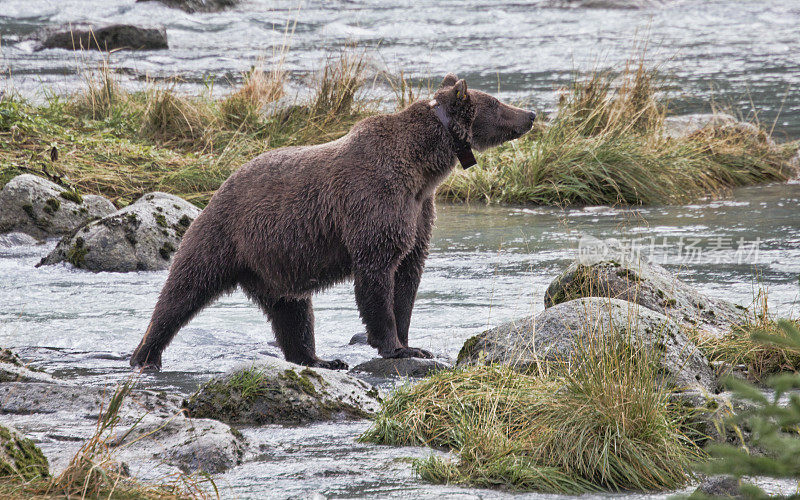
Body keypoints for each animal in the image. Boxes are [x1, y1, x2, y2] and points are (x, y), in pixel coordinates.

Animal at [131, 75, 536, 372]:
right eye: (497, 103)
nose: (530, 113)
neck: (423, 169)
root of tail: (218, 188)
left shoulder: (419, 212)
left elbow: (408, 277)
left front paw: (412, 343)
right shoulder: (375, 203)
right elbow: (377, 275)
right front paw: (394, 346)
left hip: (274, 264)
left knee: (293, 312)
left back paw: (319, 358)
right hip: (224, 234)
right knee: (183, 291)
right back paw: (146, 355)